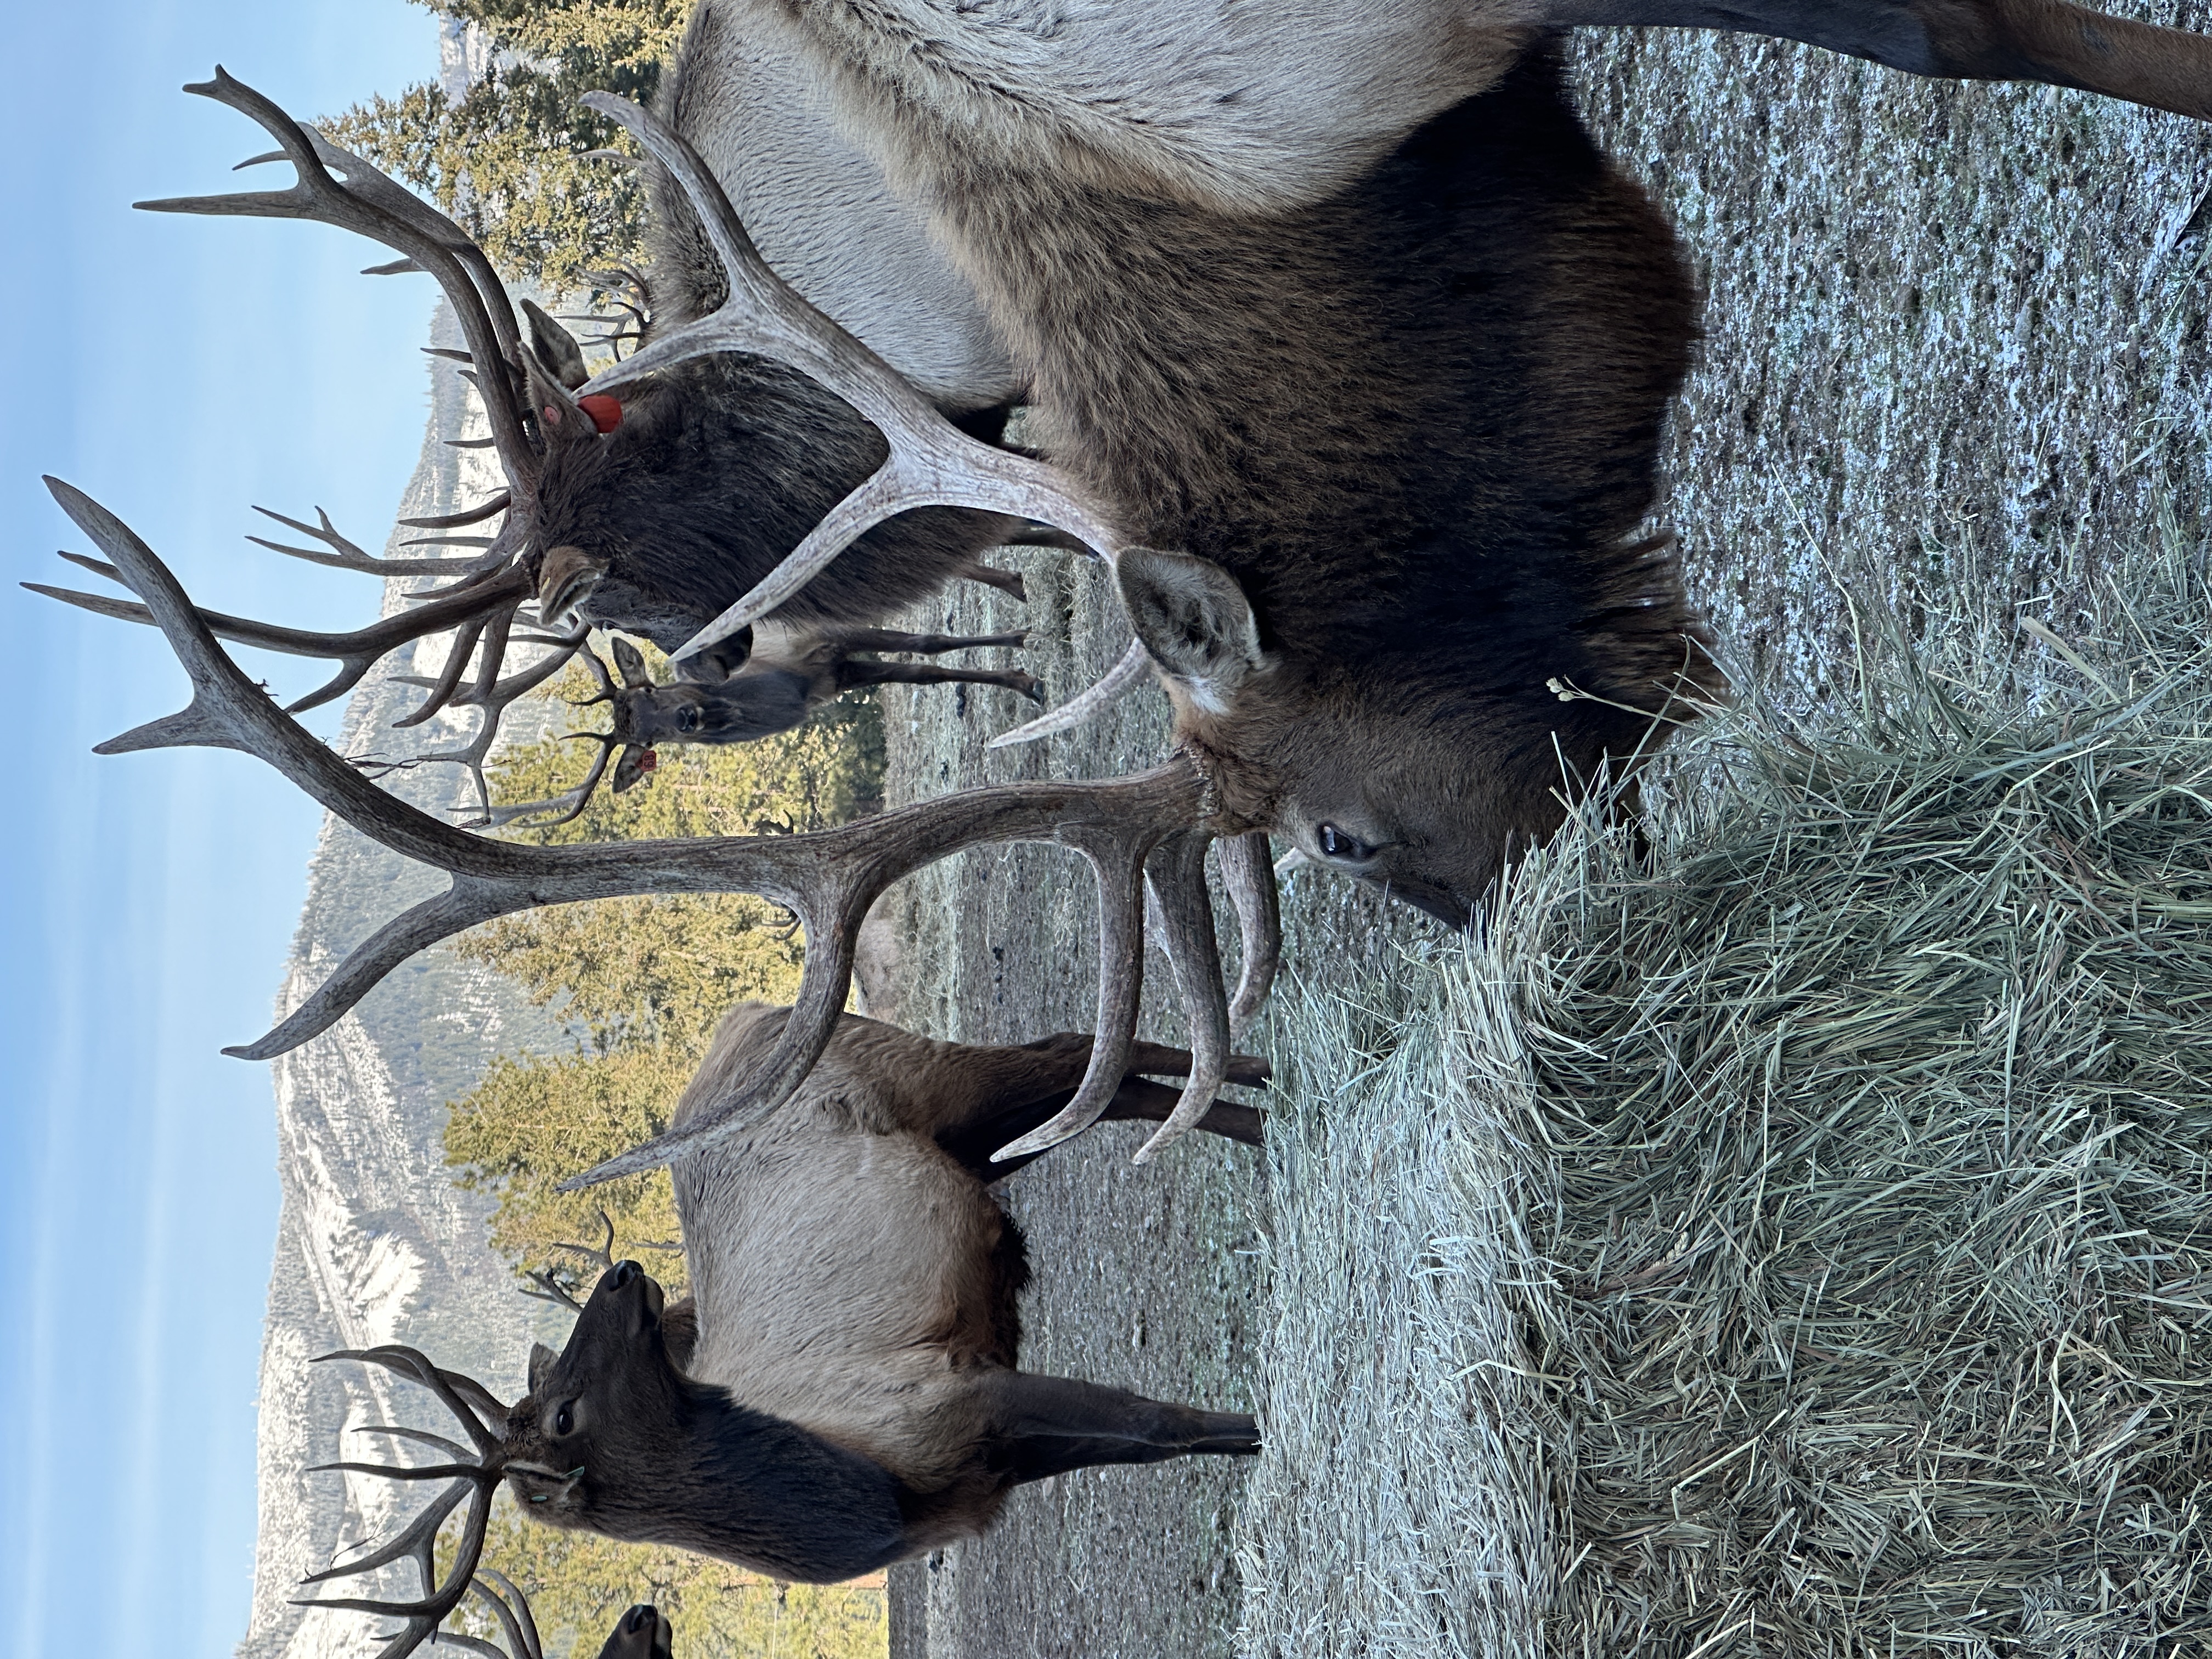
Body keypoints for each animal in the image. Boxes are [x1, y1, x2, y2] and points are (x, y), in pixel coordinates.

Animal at [290, 1009, 1266, 1655]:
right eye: (563, 1412)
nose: (623, 1273)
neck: (862, 1495)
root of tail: (750, 1014)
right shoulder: (983, 1462)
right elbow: (1150, 1439)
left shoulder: (955, 1395)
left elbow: (1161, 1421)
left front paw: (1264, 1430)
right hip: (975, 1142)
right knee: (1105, 1088)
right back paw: (1259, 1102)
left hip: (934, 1075)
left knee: (1077, 1053)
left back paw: (1264, 1085)